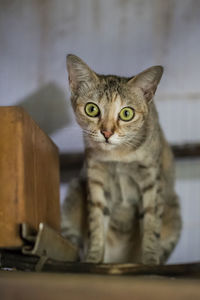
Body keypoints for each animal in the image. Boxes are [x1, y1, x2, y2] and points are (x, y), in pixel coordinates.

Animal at [61, 54, 182, 264]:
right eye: (91, 109)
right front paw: (94, 258)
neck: (118, 156)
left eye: (127, 113)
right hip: (74, 194)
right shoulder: (96, 177)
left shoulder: (151, 179)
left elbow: (151, 223)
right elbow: (96, 221)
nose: (107, 132)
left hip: (174, 212)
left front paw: (150, 260)